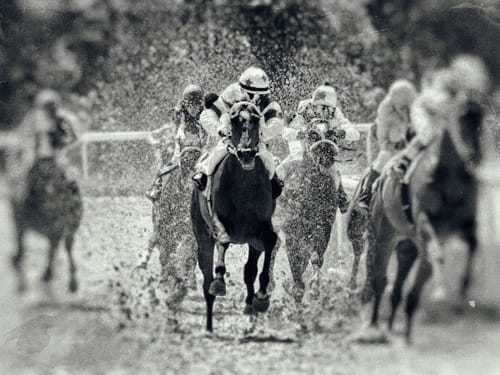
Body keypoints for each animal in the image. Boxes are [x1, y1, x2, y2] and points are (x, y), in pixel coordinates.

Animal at [190, 100, 280, 332]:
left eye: (256, 119)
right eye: (233, 120)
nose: (246, 153)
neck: (244, 184)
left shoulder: (260, 228)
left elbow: (270, 240)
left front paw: (262, 296)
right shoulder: (217, 220)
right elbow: (222, 238)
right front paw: (220, 280)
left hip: (252, 241)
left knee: (249, 269)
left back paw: (250, 304)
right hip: (202, 236)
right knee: (206, 278)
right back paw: (209, 324)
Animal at [280, 120, 350, 302]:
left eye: (331, 133)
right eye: (312, 134)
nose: (325, 148)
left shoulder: (323, 228)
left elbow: (316, 258)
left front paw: (314, 287)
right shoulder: (292, 232)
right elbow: (295, 261)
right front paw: (296, 288)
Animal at [364, 101, 484, 342]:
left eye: (481, 123)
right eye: (458, 121)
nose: (474, 156)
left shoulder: (466, 223)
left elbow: (473, 244)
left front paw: (462, 290)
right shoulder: (424, 221)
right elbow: (436, 253)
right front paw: (440, 292)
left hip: (407, 247)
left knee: (399, 288)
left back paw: (395, 328)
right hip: (384, 236)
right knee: (380, 280)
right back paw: (374, 325)